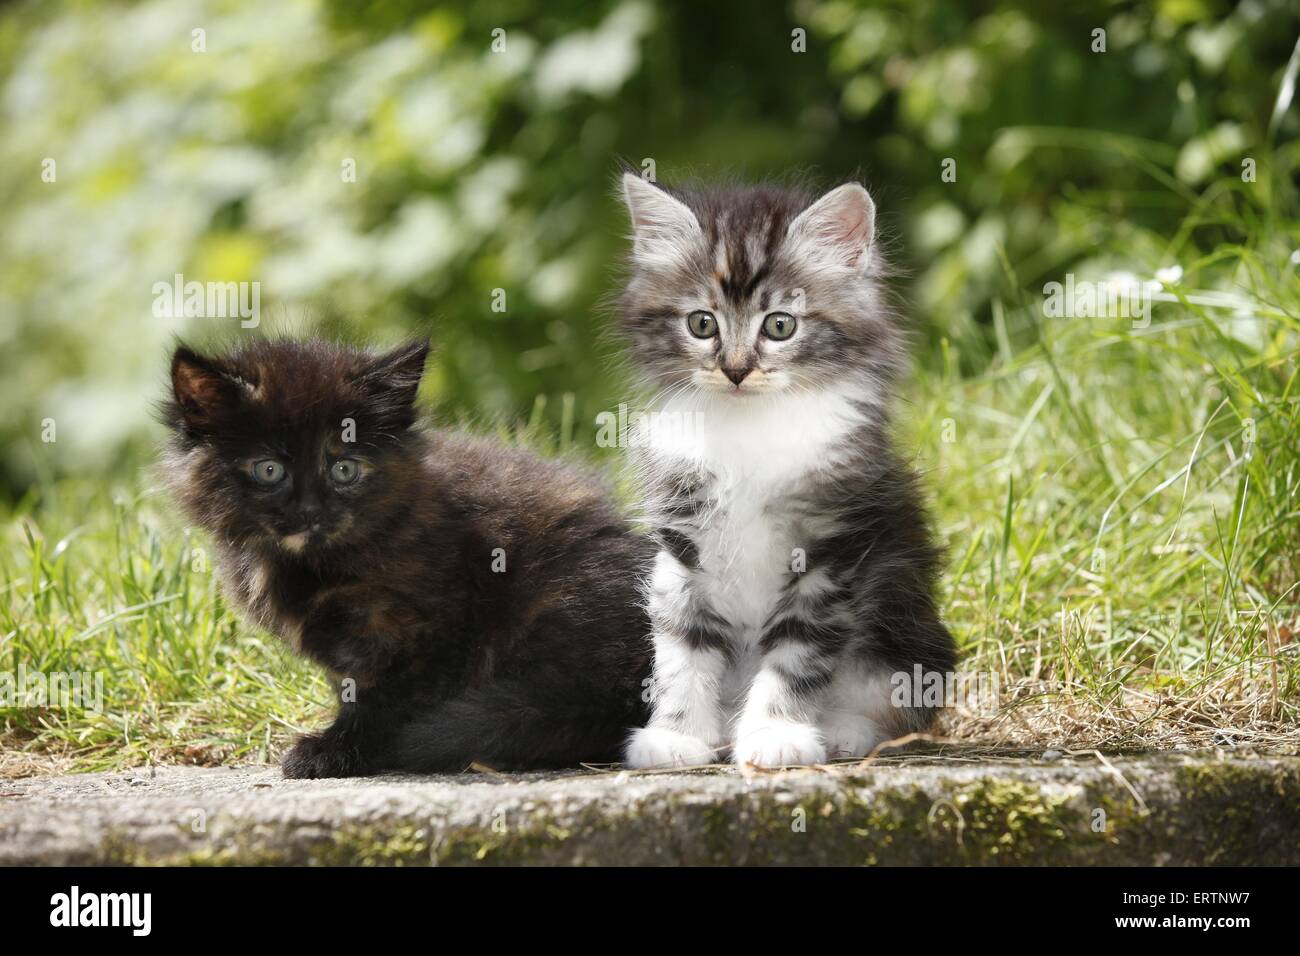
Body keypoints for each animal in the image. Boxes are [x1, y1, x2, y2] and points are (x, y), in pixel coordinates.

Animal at [162, 335, 650, 780]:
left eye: (344, 469)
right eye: (269, 470)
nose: (311, 510)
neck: (307, 561)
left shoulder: (426, 626)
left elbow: (385, 698)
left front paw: (339, 751)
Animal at [613, 174, 961, 770]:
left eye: (780, 325)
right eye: (702, 323)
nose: (735, 370)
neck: (750, 427)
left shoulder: (831, 552)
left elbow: (797, 654)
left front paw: (776, 733)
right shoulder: (682, 552)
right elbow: (683, 650)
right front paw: (677, 735)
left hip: (908, 638)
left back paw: (843, 731)